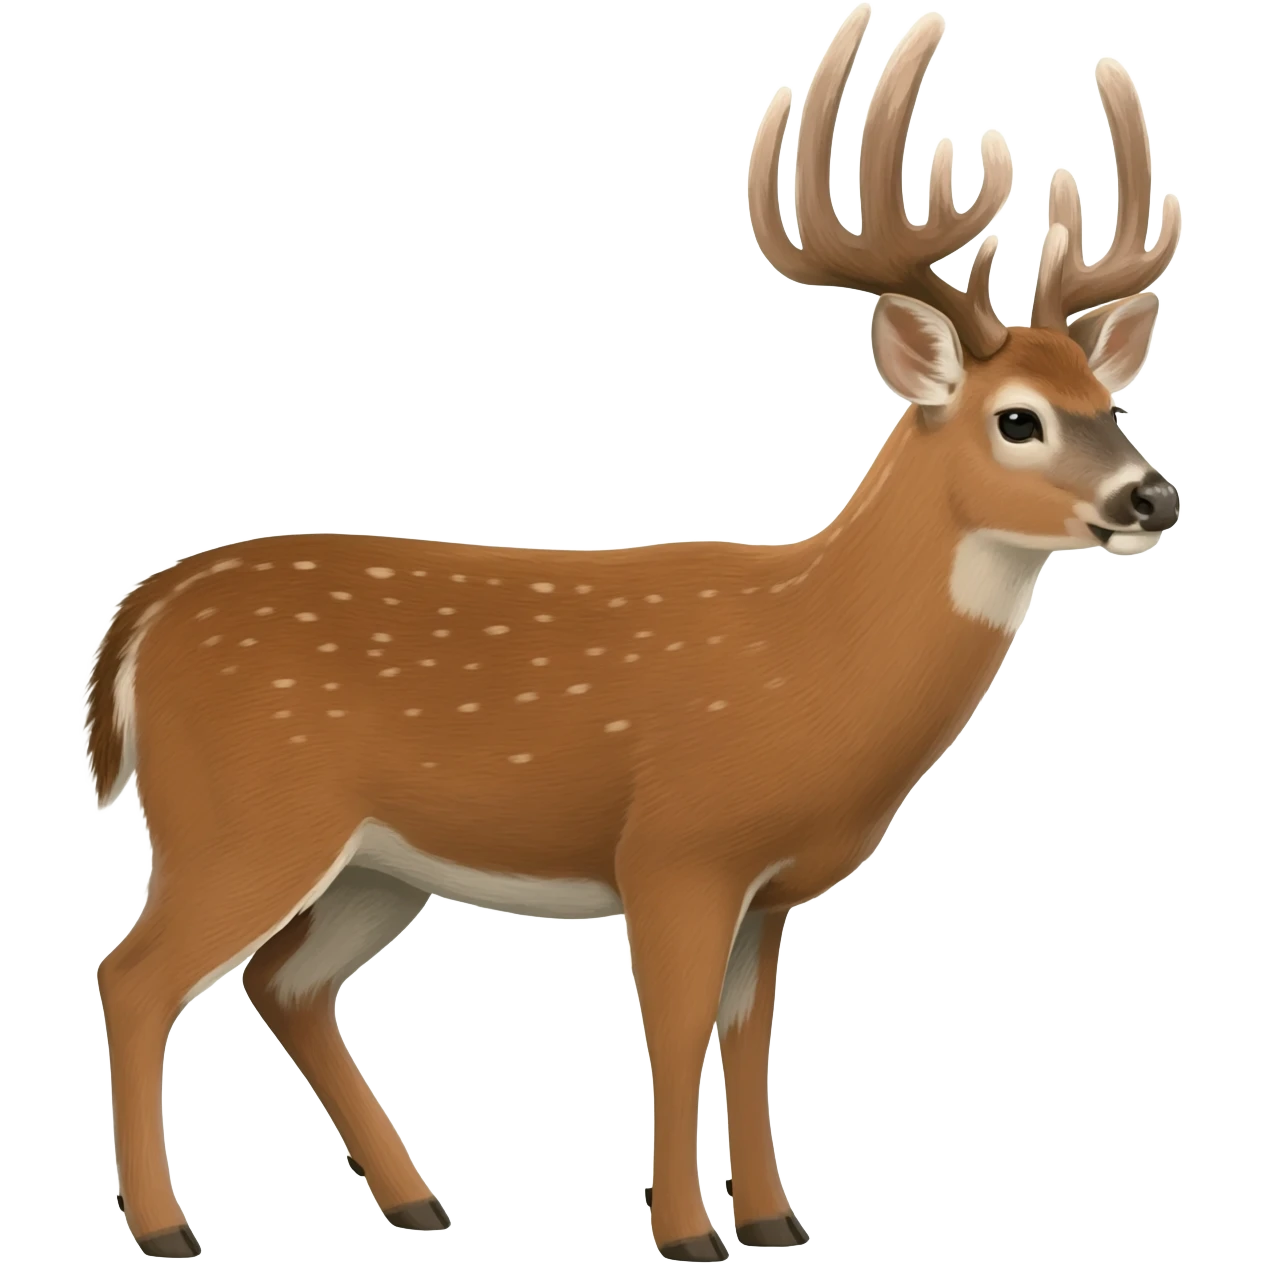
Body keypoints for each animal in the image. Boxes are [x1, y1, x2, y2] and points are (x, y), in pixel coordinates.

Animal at [85, 7, 1181, 1261]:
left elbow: (750, 1037)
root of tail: (139, 614)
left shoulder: (769, 885)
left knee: (287, 983)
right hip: (236, 819)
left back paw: (417, 1200)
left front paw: (775, 1219)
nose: (1154, 497)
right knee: (138, 975)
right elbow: (676, 1026)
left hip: (372, 860)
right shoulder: (676, 847)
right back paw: (168, 1226)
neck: (815, 658)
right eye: (1020, 420)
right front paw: (686, 1230)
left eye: (1111, 404)